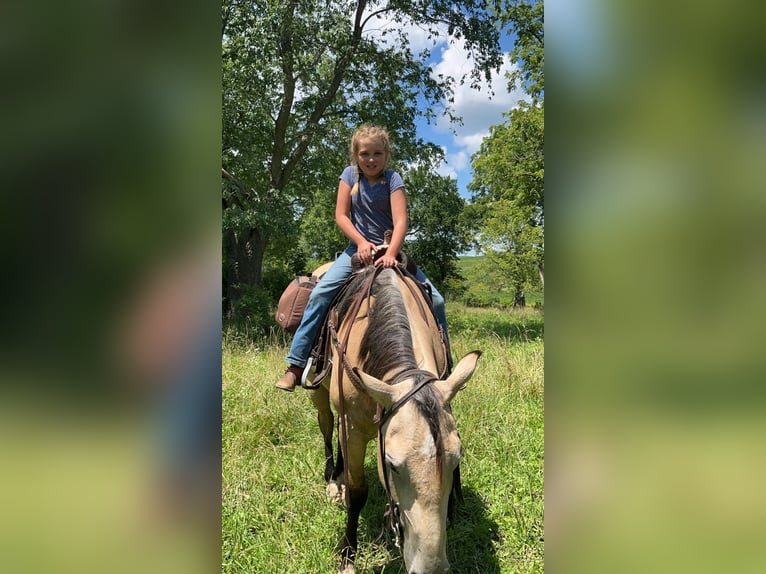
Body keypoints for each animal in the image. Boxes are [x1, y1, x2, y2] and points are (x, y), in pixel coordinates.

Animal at [308, 263, 482, 574]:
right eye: (391, 464)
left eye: (457, 460)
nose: (431, 569)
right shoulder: (353, 426)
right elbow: (358, 492)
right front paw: (347, 556)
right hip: (319, 392)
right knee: (327, 426)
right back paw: (333, 481)